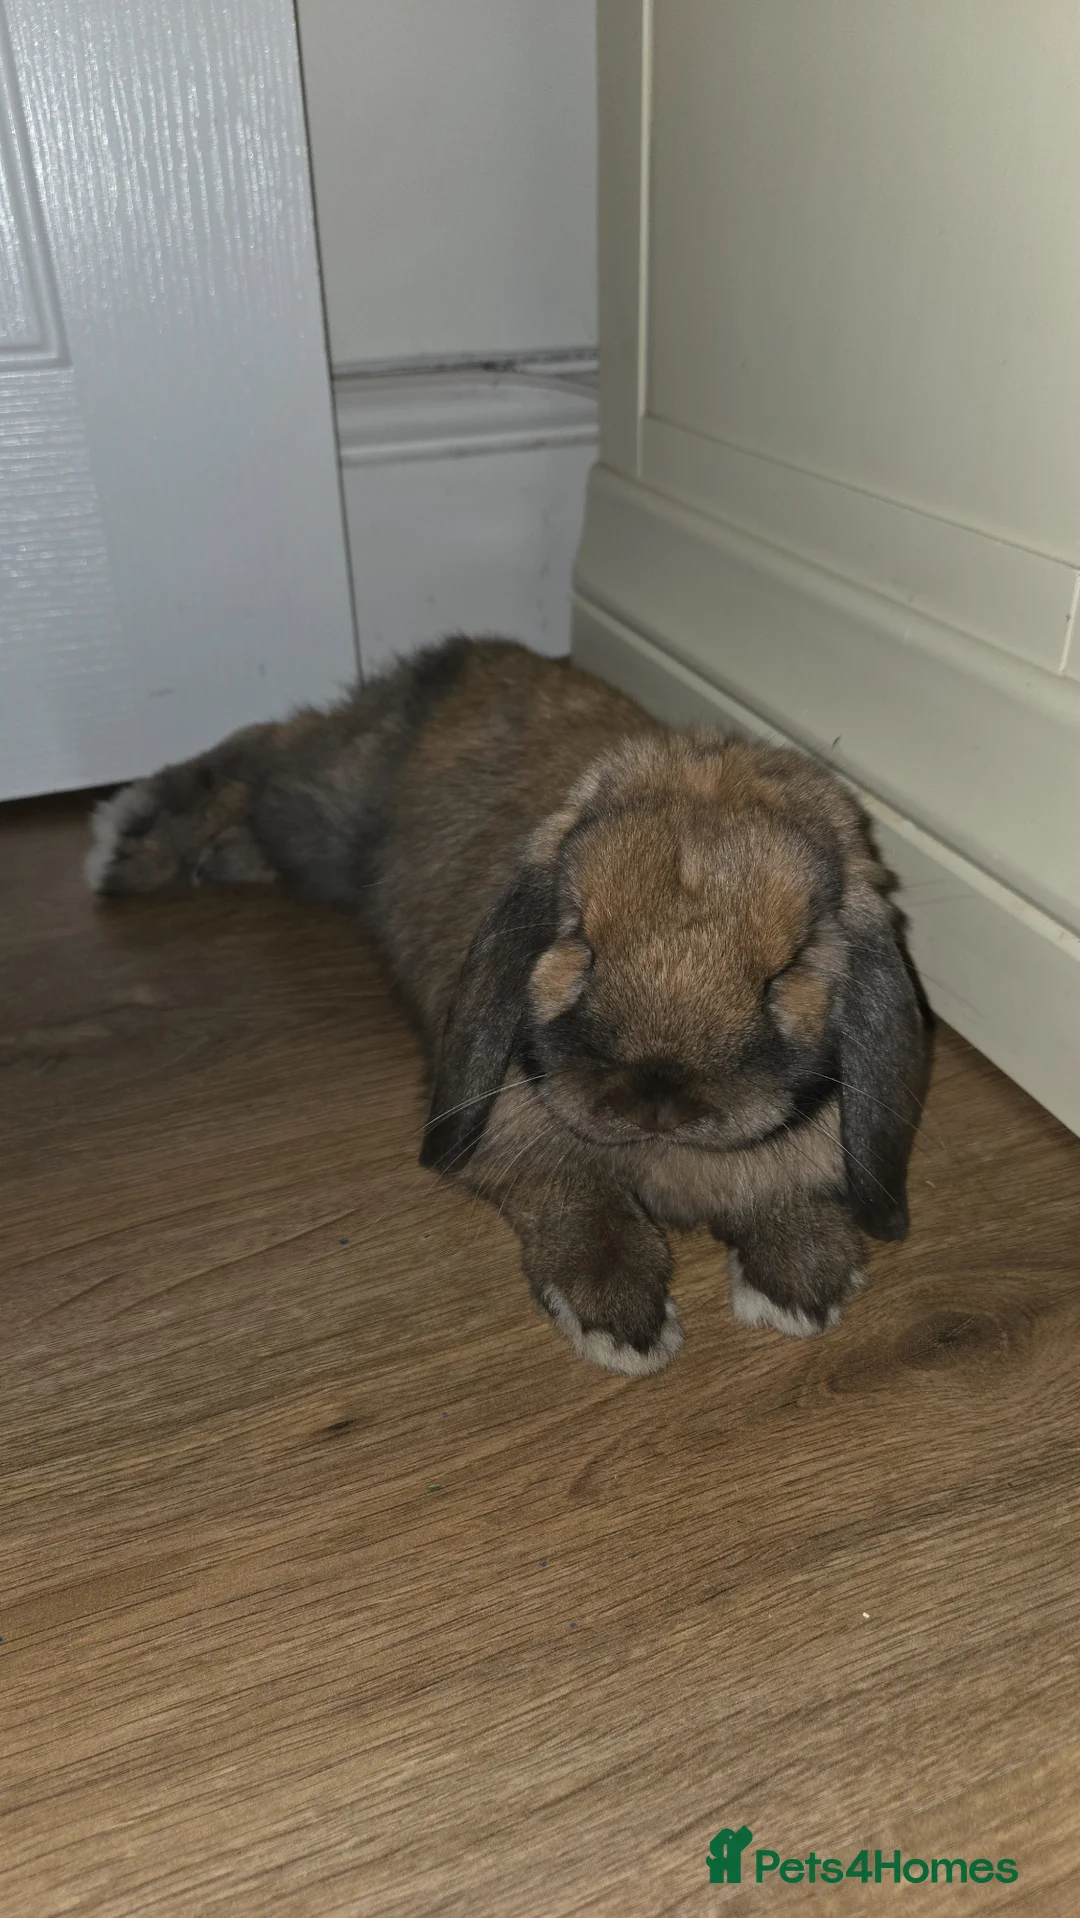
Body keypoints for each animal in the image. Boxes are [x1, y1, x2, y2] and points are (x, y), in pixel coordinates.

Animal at [86, 636, 929, 1375]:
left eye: (784, 971)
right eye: (580, 941)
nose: (657, 1096)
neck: (669, 1157)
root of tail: (470, 651)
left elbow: (788, 1188)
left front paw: (801, 1283)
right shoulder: (517, 1137)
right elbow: (583, 1202)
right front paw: (619, 1322)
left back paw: (201, 856)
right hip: (320, 808)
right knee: (255, 755)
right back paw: (123, 845)